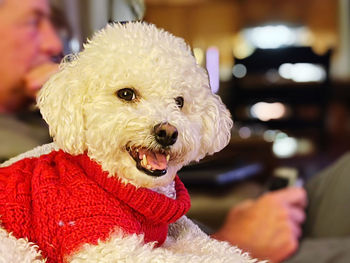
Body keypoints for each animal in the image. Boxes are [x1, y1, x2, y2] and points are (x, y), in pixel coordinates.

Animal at [0, 23, 260, 263]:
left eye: (179, 101)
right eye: (126, 94)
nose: (167, 132)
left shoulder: (180, 237)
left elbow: (220, 250)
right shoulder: (108, 246)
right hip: (16, 247)